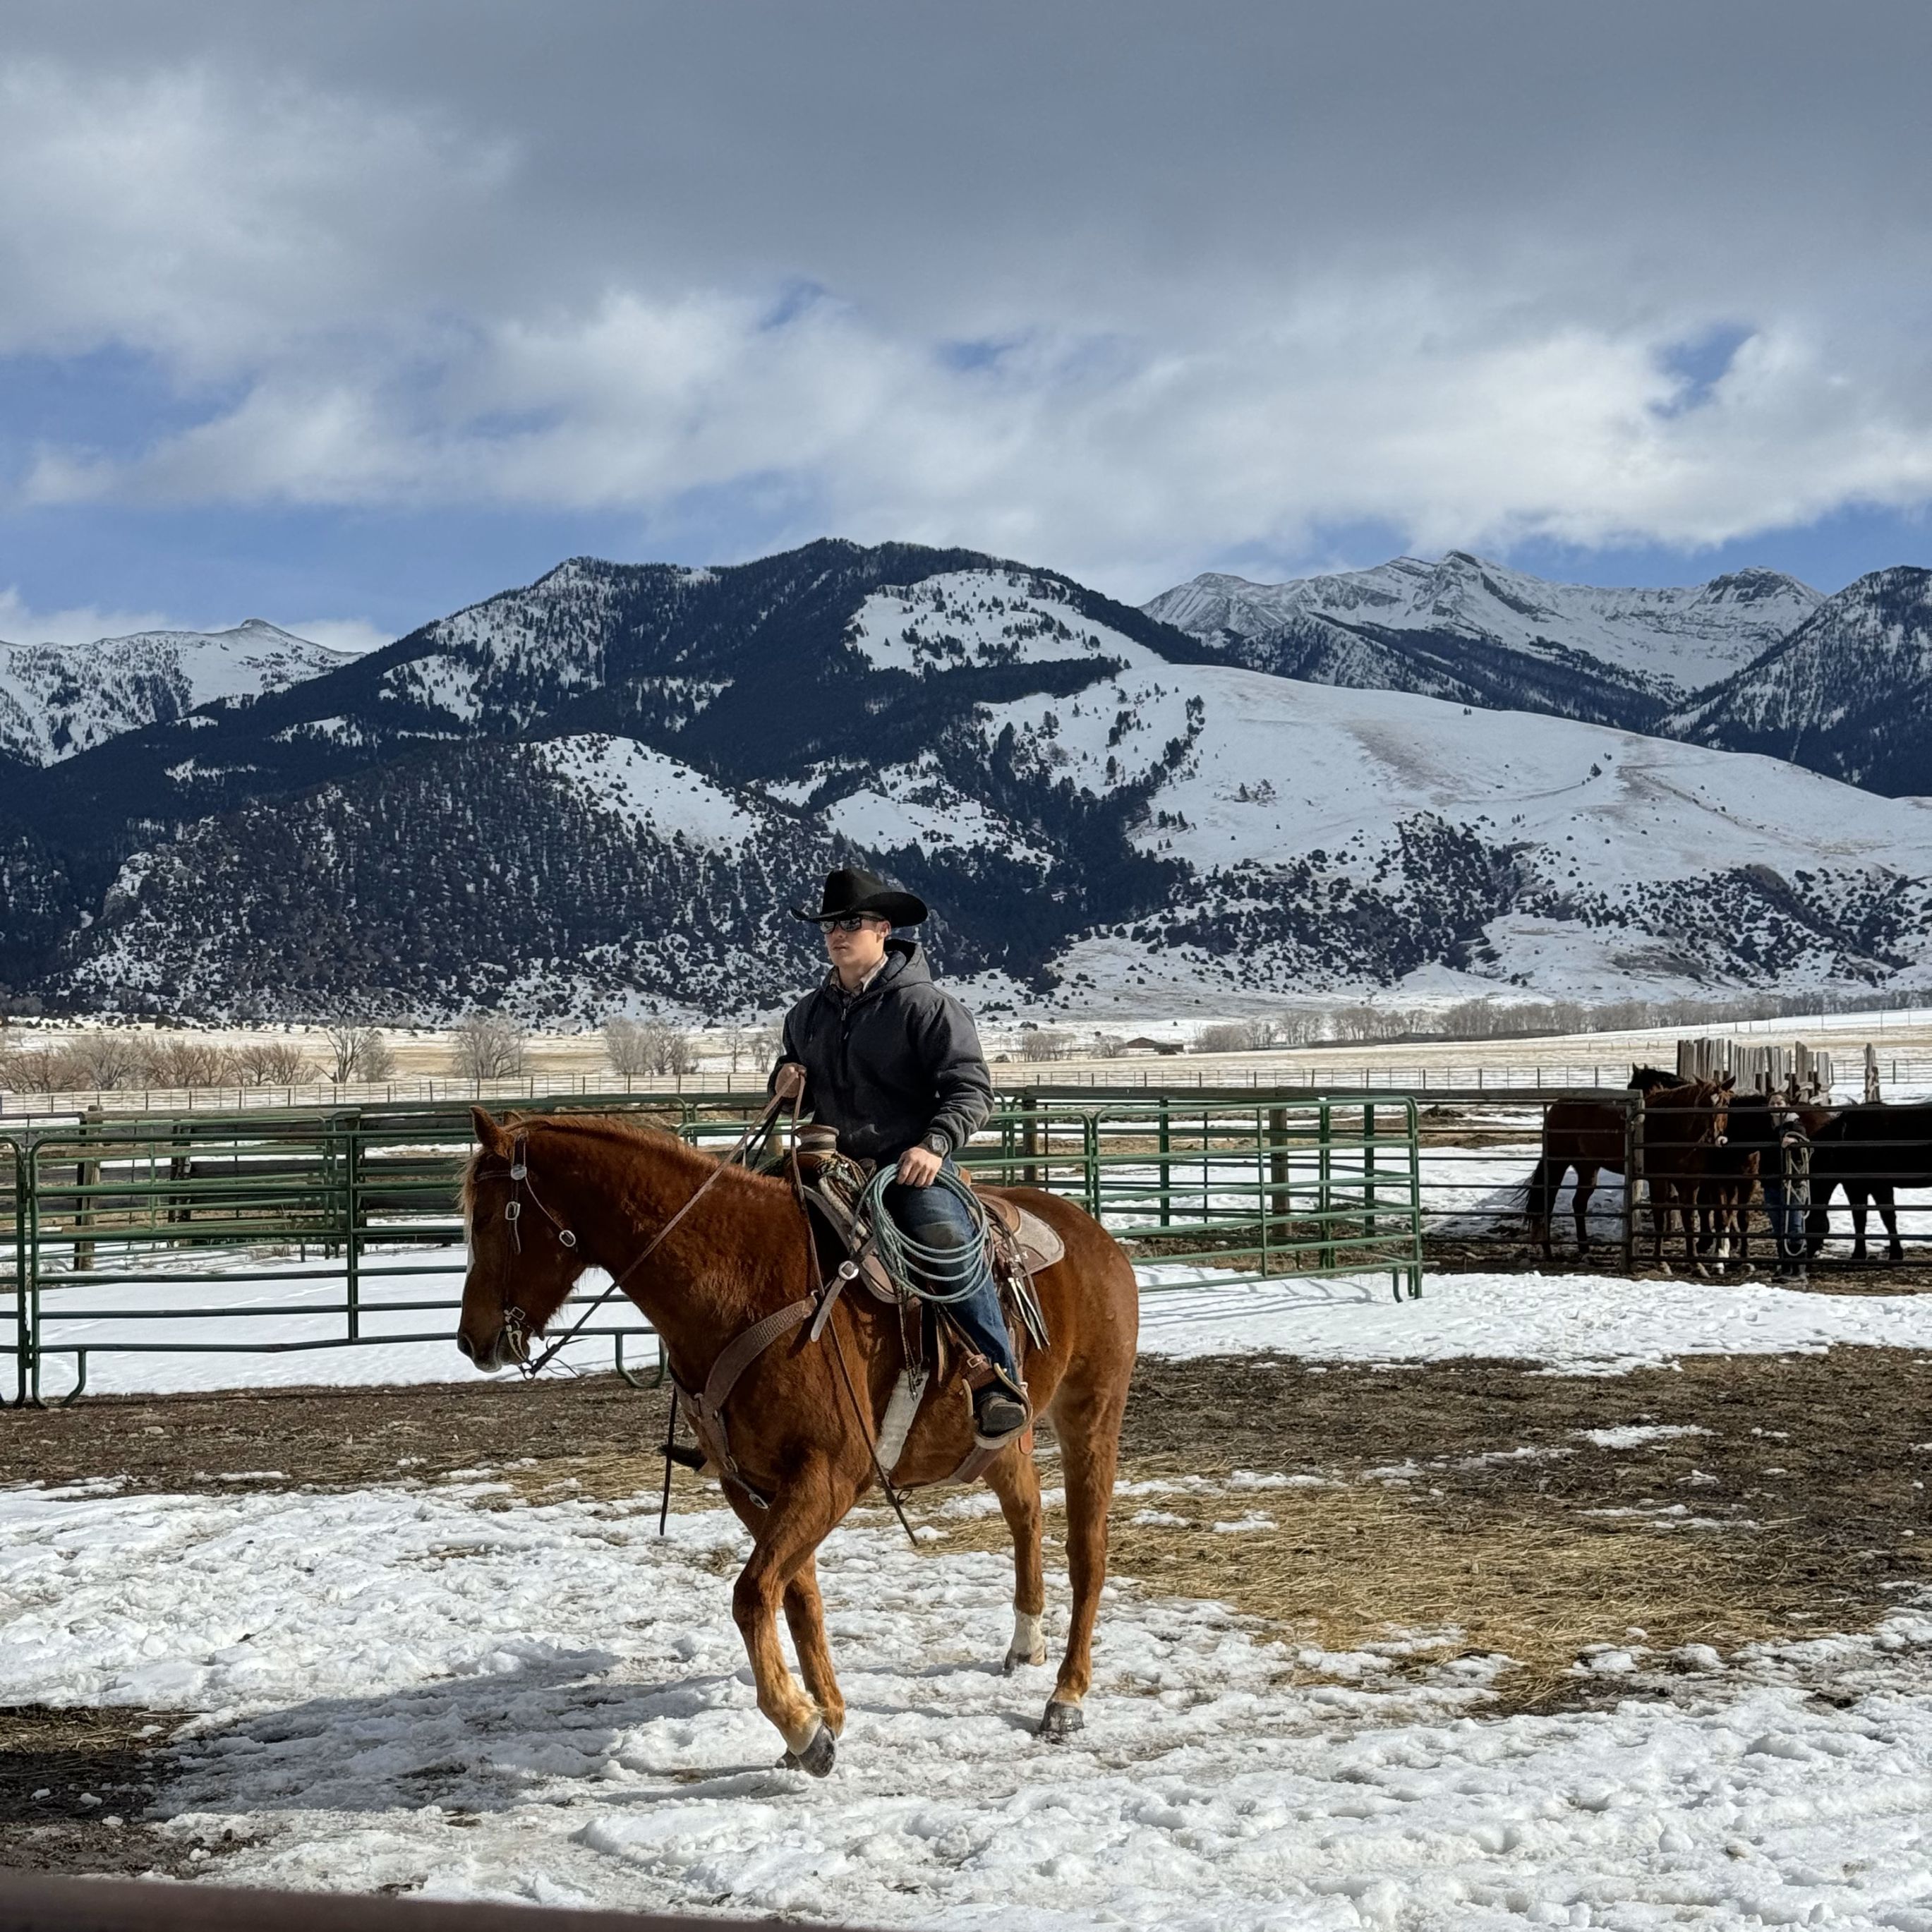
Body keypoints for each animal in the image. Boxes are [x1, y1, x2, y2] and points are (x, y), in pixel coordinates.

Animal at [457, 1113, 1135, 1770]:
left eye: (488, 1219)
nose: (471, 1341)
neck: (740, 1282)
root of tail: (1094, 1236)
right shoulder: (753, 1485)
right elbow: (798, 1594)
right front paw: (826, 1714)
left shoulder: (829, 1475)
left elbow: (754, 1594)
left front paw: (802, 1729)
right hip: (996, 1443)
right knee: (1026, 1511)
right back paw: (1026, 1643)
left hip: (1092, 1415)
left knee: (1088, 1552)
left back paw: (1067, 1697)